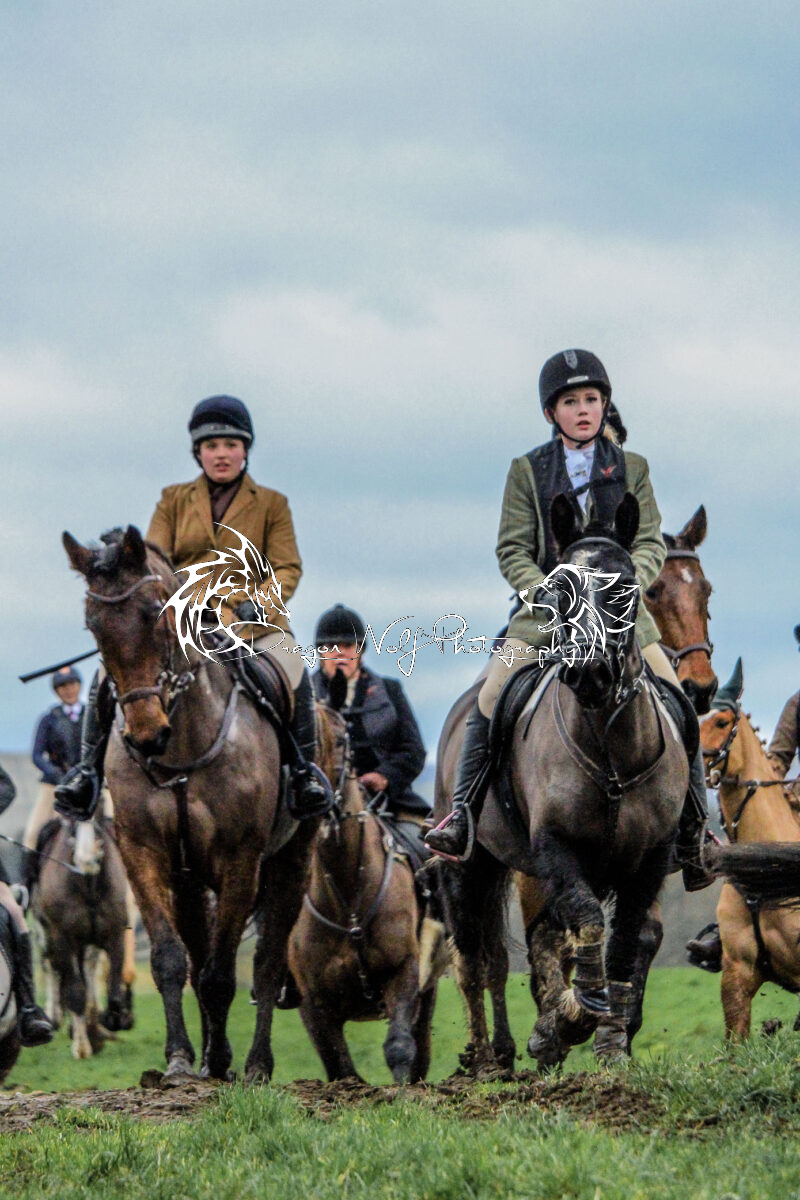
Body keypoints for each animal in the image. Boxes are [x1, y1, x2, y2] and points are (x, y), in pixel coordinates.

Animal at [32, 813, 133, 1058]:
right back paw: (58, 1018)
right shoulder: (62, 939)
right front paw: (82, 1047)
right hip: (45, 934)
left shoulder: (114, 937)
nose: (87, 859)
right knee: (51, 968)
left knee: (88, 971)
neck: (88, 884)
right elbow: (75, 991)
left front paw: (109, 1023)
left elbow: (112, 993)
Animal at [62, 525, 321, 1081]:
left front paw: (226, 1062)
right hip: (187, 880)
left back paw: (254, 1063)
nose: (145, 737)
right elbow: (171, 960)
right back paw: (209, 1057)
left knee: (267, 963)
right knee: (199, 956)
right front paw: (182, 1059)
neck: (181, 741)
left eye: (154, 613)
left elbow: (224, 974)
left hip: (292, 861)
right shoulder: (143, 853)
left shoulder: (240, 859)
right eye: (92, 625)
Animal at [288, 730, 447, 1083]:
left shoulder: (403, 971)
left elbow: (400, 1047)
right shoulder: (313, 1002)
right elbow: (339, 1066)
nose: (315, 795)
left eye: (340, 741)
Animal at [435, 493, 689, 1072]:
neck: (610, 748)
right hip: (468, 866)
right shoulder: (556, 848)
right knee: (474, 958)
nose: (589, 671)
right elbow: (588, 925)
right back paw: (485, 1058)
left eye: (626, 583)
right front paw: (574, 1015)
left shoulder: (649, 860)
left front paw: (609, 1039)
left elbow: (621, 944)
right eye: (558, 586)